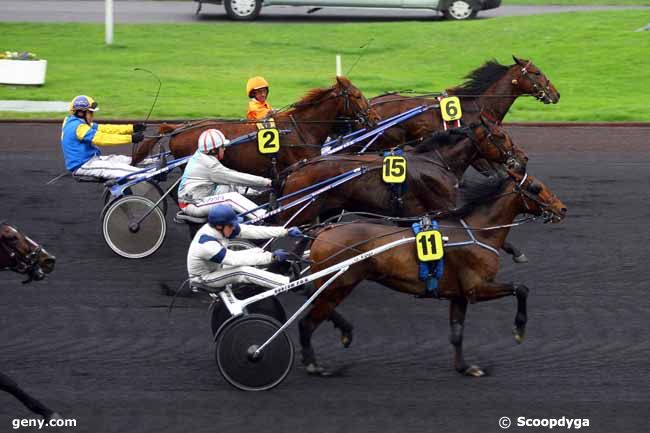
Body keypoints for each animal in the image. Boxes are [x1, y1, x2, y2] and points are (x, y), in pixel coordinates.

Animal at [300, 170, 568, 376]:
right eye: (535, 187)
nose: (562, 209)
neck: (479, 232)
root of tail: (322, 231)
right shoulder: (477, 288)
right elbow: (521, 288)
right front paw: (519, 331)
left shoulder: (459, 295)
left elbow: (457, 333)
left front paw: (464, 368)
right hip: (338, 284)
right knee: (308, 320)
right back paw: (314, 364)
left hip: (334, 285)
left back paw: (343, 332)